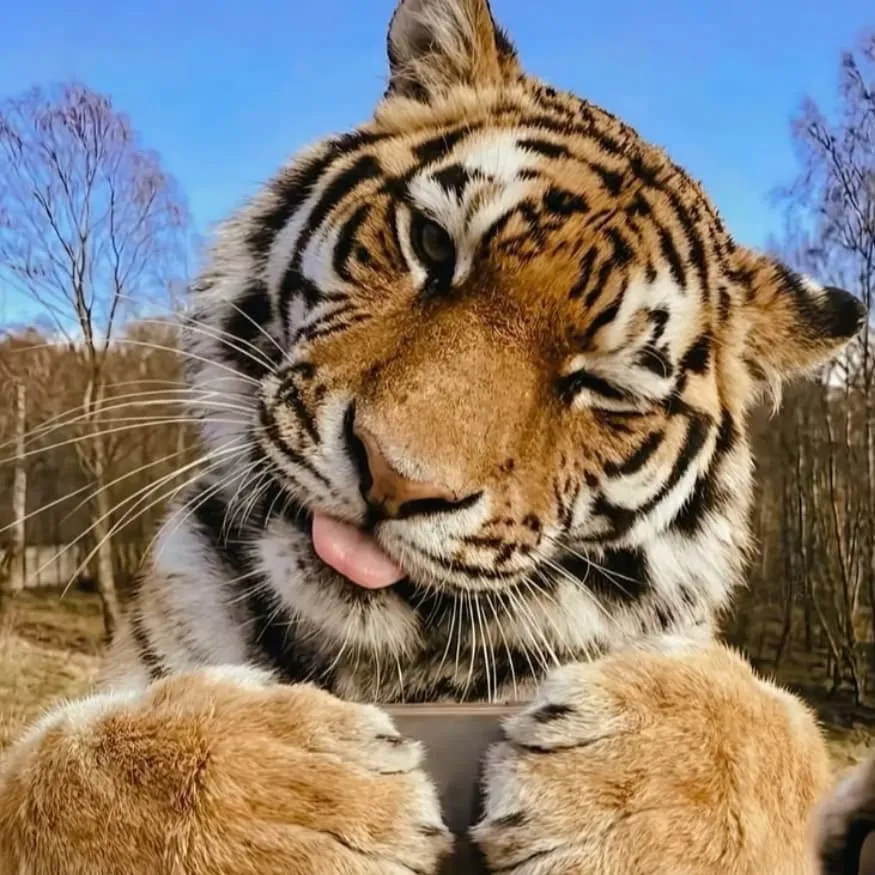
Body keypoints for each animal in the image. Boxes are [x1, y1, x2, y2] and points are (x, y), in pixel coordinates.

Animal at [0, 0, 871, 872]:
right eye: (429, 243)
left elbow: (770, 722)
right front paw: (308, 795)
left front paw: (634, 783)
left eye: (607, 385)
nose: (395, 476)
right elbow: (66, 768)